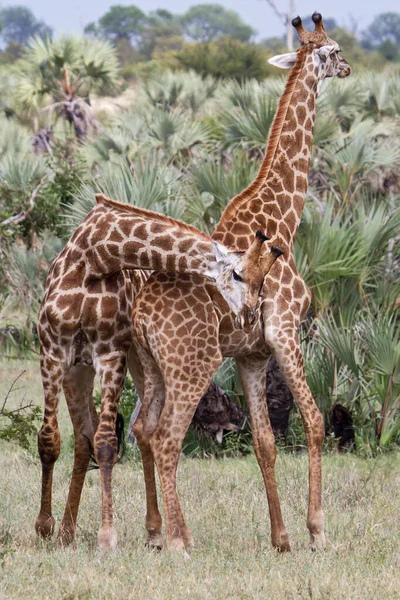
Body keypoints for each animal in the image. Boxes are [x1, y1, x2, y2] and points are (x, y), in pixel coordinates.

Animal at [36, 191, 282, 548]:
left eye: (262, 282)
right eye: (237, 274)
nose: (250, 316)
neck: (96, 256)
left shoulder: (110, 352)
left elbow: (106, 443)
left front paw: (107, 536)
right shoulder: (53, 351)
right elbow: (50, 440)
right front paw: (44, 526)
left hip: (141, 367)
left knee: (141, 432)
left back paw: (157, 530)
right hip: (81, 371)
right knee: (88, 438)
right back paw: (68, 531)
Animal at [130, 12, 350, 556]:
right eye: (334, 50)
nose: (350, 68)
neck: (284, 219)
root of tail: (140, 313)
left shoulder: (251, 354)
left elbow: (265, 442)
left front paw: (281, 538)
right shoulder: (286, 331)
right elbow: (315, 423)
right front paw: (317, 532)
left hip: (151, 368)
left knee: (144, 431)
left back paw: (156, 533)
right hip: (192, 365)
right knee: (167, 439)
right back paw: (180, 541)